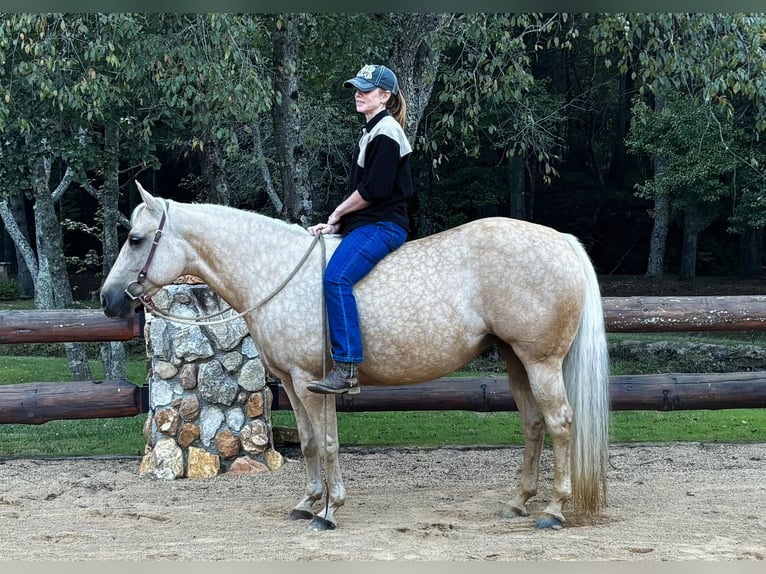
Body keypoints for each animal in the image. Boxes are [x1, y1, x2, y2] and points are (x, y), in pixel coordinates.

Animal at [101, 181, 611, 531]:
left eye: (136, 239)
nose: (108, 299)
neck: (274, 270)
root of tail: (561, 240)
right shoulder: (292, 383)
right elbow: (308, 443)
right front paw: (307, 502)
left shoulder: (314, 382)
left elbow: (327, 443)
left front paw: (329, 511)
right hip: (515, 360)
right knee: (533, 424)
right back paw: (518, 501)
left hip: (541, 362)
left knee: (560, 424)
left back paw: (553, 509)